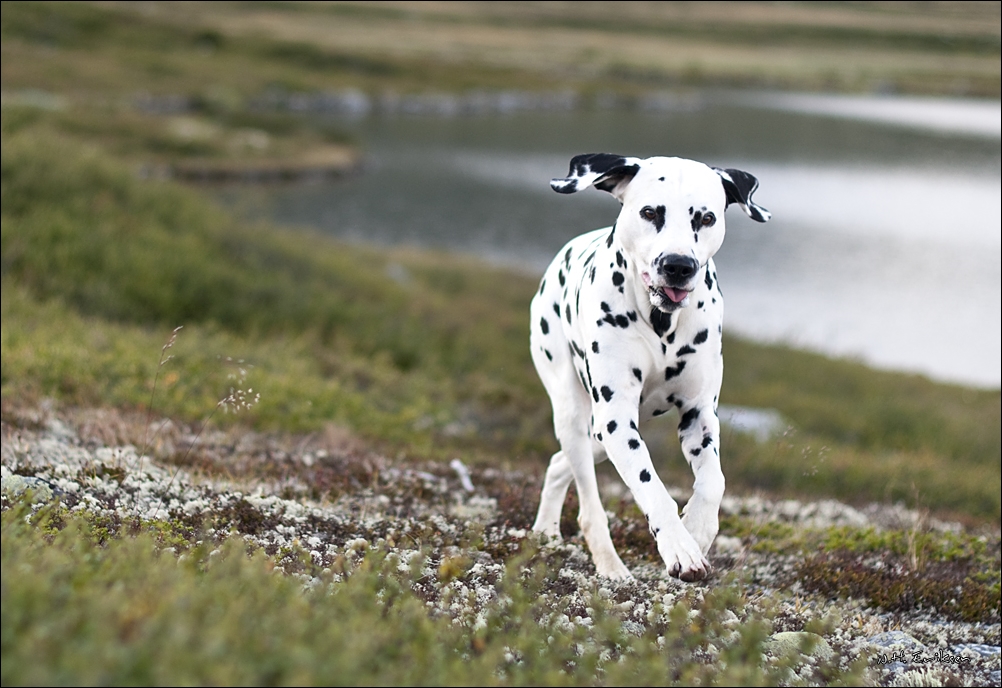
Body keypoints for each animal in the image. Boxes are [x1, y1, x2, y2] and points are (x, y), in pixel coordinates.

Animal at [533, 155, 765, 580]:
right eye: (650, 212)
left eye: (706, 218)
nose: (678, 265)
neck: (662, 325)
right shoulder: (616, 421)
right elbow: (651, 486)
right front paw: (679, 547)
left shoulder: (699, 414)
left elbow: (715, 481)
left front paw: (698, 530)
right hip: (577, 417)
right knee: (588, 503)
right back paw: (610, 567)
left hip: (598, 437)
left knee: (559, 463)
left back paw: (545, 531)